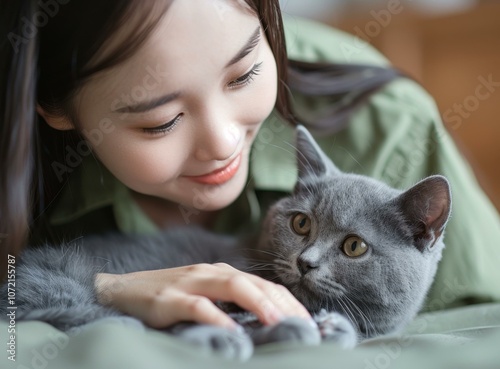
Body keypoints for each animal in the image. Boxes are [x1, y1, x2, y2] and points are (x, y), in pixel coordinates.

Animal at [0, 126, 454, 360]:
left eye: (354, 247)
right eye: (301, 223)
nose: (305, 261)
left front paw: (329, 327)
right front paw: (228, 335)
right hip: (61, 276)